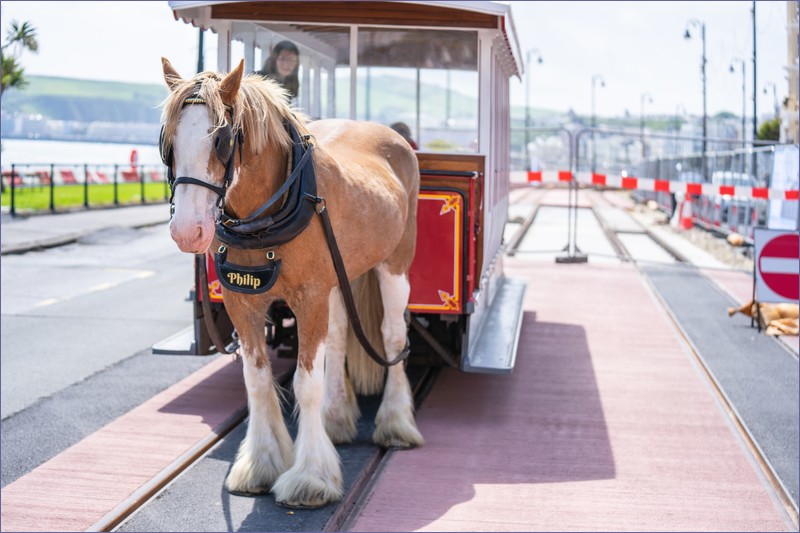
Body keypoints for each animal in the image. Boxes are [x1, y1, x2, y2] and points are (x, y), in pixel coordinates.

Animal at [161, 57, 424, 508]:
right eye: (169, 142)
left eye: (221, 140)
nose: (188, 231)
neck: (268, 214)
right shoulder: (243, 302)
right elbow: (257, 380)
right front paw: (261, 464)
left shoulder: (309, 298)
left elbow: (305, 384)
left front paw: (310, 478)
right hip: (341, 275)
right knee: (339, 336)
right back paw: (337, 419)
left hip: (394, 264)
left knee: (392, 337)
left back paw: (395, 423)